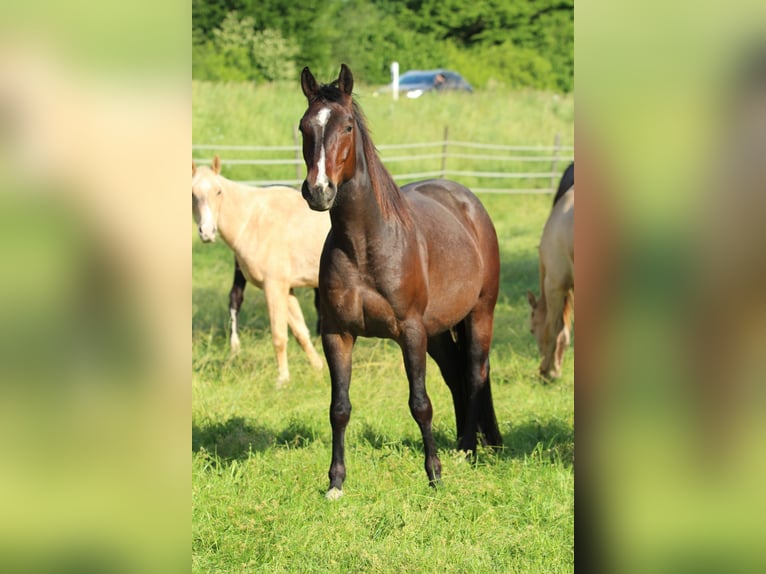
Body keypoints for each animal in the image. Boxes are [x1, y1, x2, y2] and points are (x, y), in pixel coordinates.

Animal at [192, 155, 331, 385]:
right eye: (193, 194)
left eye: (218, 192)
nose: (207, 232)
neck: (253, 220)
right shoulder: (286, 289)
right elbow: (300, 332)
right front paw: (319, 369)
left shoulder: (273, 287)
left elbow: (279, 336)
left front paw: (282, 379)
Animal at [299, 64, 502, 498]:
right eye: (304, 126)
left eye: (347, 127)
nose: (319, 191)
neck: (365, 243)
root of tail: (467, 202)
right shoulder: (337, 334)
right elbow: (339, 409)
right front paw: (335, 482)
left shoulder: (410, 331)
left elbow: (420, 403)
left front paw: (434, 475)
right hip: (438, 331)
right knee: (456, 376)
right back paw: (462, 445)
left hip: (480, 314)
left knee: (475, 372)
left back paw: (470, 451)